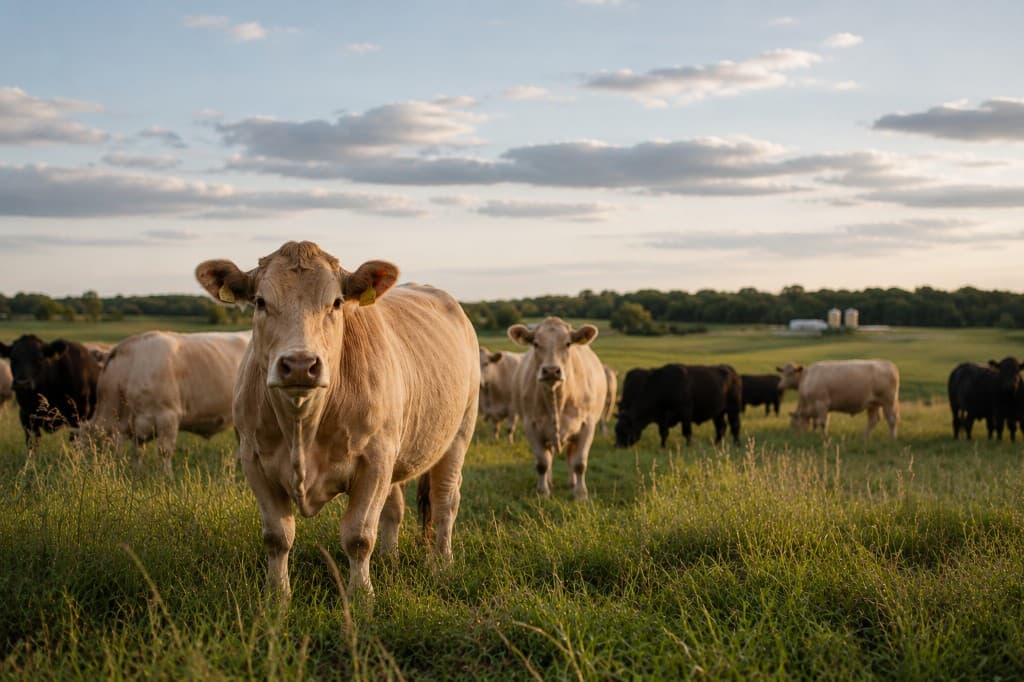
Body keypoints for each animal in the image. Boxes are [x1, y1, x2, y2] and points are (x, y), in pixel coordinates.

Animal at [82, 330, 251, 471]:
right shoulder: (138, 425)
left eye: (87, 442)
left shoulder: (168, 415)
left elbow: (165, 451)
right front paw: (137, 471)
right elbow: (137, 451)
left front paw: (166, 475)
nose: (86, 467)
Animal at [195, 241, 478, 600]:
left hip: (458, 435)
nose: (300, 365)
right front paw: (277, 595)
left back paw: (442, 564)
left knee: (445, 503)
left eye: (337, 302)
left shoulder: (374, 462)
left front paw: (361, 596)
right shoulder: (254, 459)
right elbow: (277, 536)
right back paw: (389, 558)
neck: (302, 426)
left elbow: (358, 536)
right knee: (395, 506)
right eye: (260, 301)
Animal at [508, 317, 606, 501]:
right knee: (550, 457)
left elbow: (579, 463)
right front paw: (542, 492)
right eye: (535, 343)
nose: (551, 370)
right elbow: (542, 463)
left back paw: (572, 483)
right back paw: (549, 481)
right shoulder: (531, 426)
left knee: (569, 458)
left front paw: (581, 495)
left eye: (568, 344)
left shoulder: (587, 426)